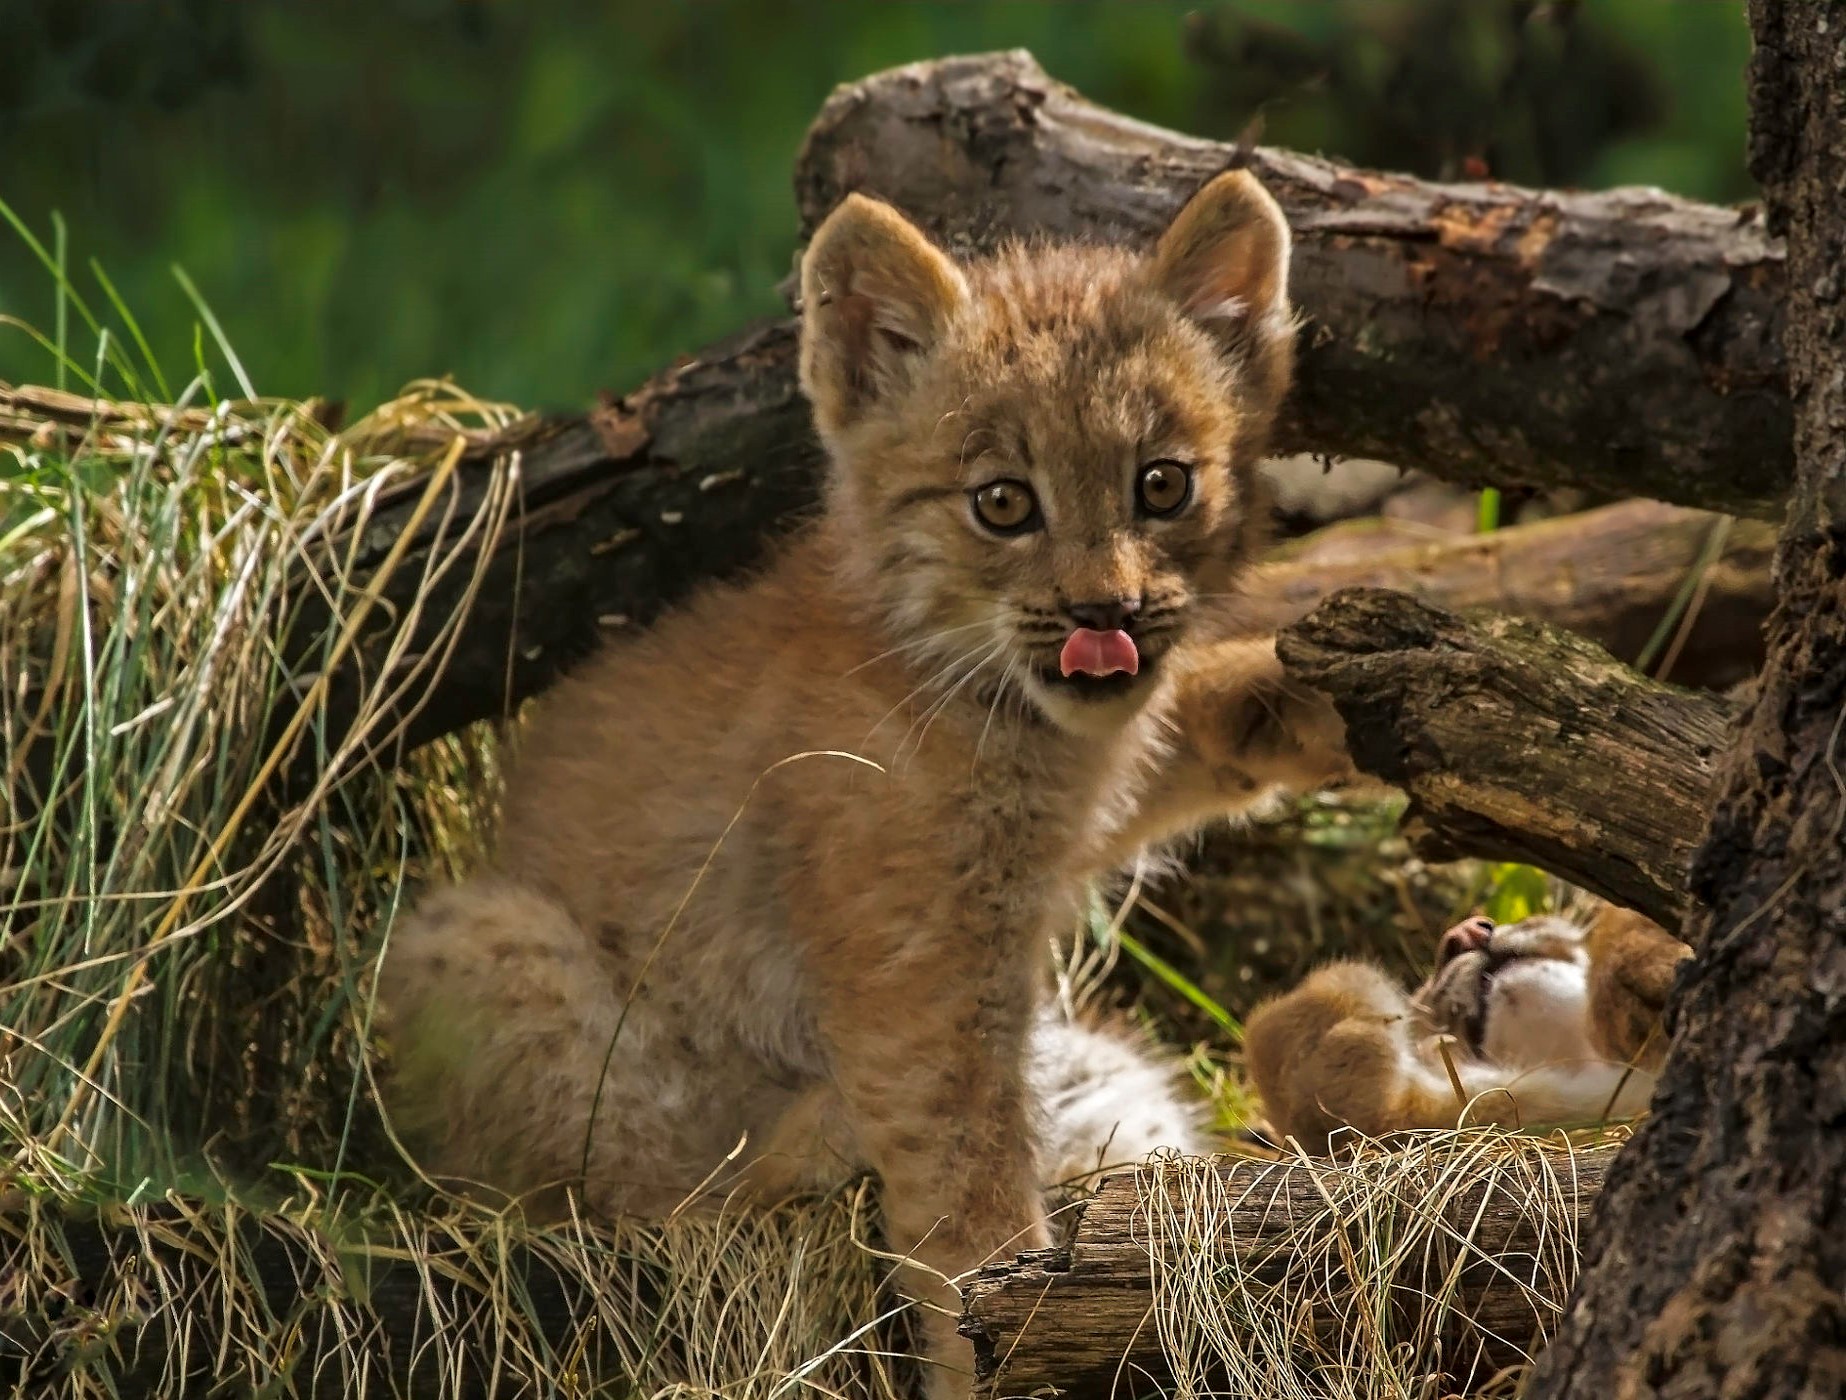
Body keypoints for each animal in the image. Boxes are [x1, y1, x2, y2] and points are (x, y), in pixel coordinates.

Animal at [382, 169, 1351, 1396]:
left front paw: (1313, 697)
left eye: (1162, 486)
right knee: (659, 1200)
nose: (1106, 615)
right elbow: (962, 1205)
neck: (983, 695)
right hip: (469, 935)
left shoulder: (1069, 793)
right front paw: (1007, 1351)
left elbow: (1174, 721)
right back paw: (809, 1136)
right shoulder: (918, 984)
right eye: (1002, 504)